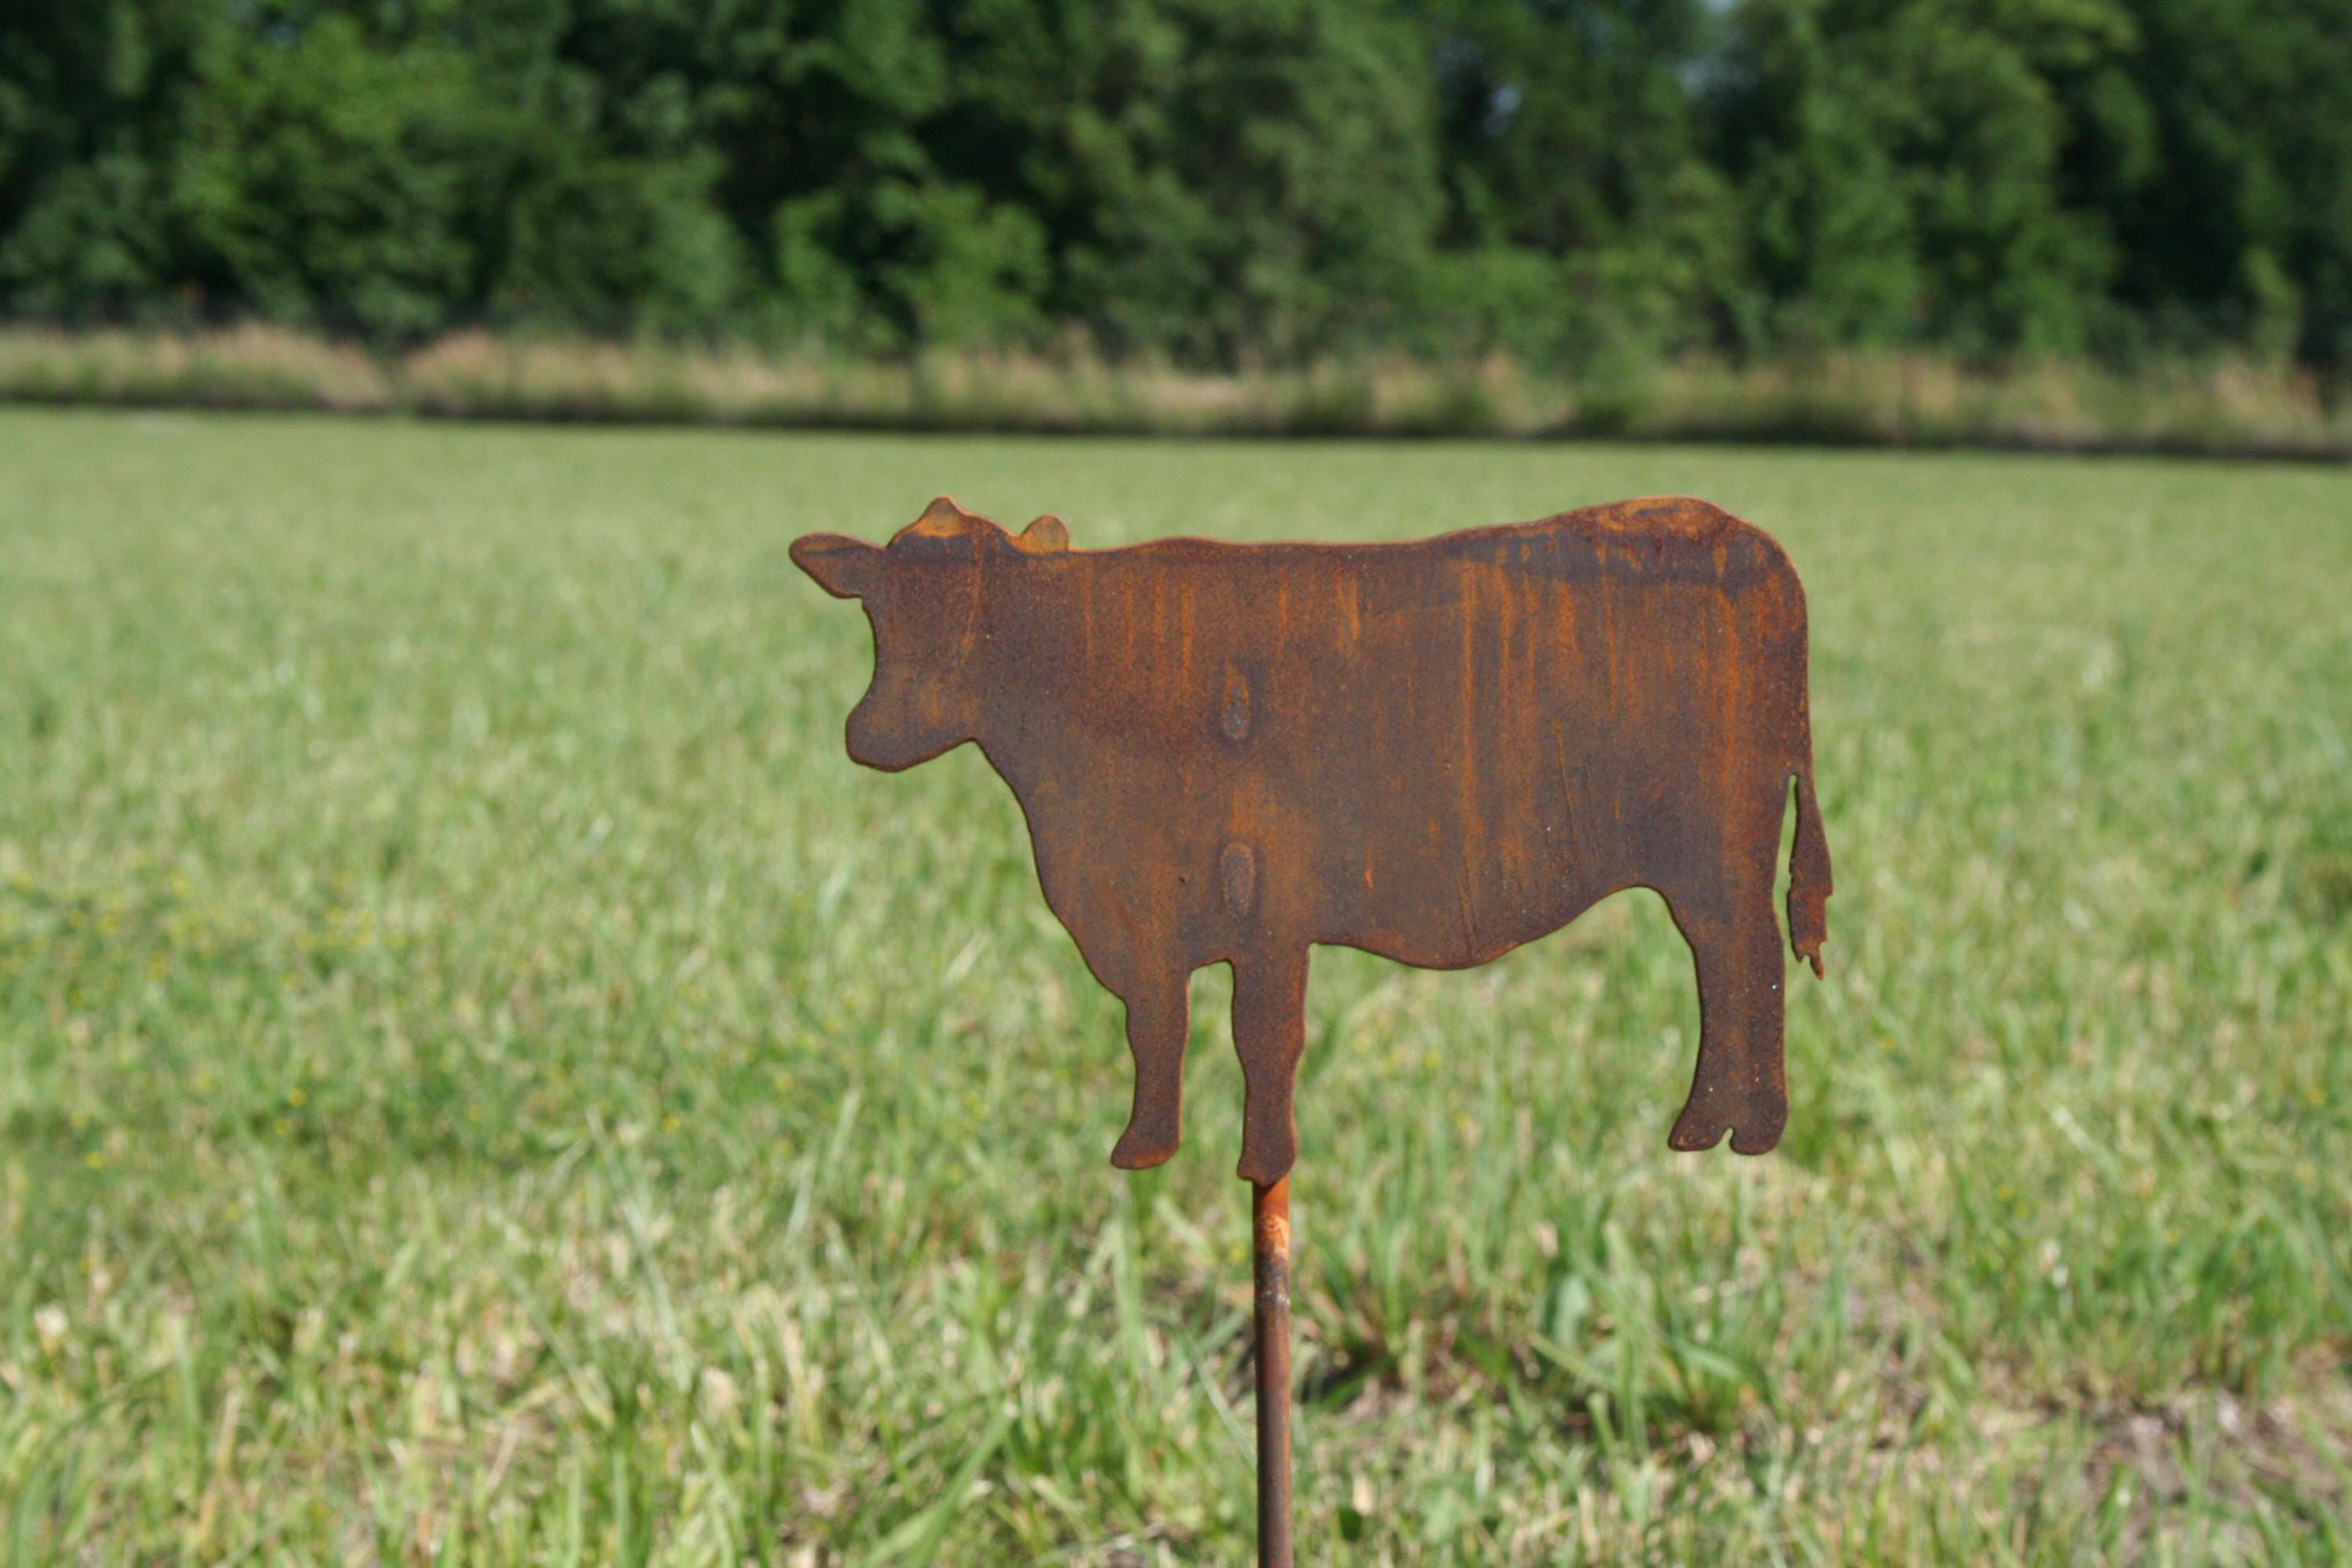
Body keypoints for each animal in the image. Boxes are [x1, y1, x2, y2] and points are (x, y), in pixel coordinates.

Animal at [792, 495, 1831, 1184]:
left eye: (976, 615)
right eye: (878, 610)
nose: (867, 736)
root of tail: (1740, 535)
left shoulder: (1266, 904)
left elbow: (1263, 1039)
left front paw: (1264, 1161)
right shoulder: (1147, 914)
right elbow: (1157, 1025)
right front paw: (1148, 1146)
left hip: (1717, 861)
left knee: (1747, 967)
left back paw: (1741, 1127)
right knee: (1729, 970)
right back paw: (1716, 1125)